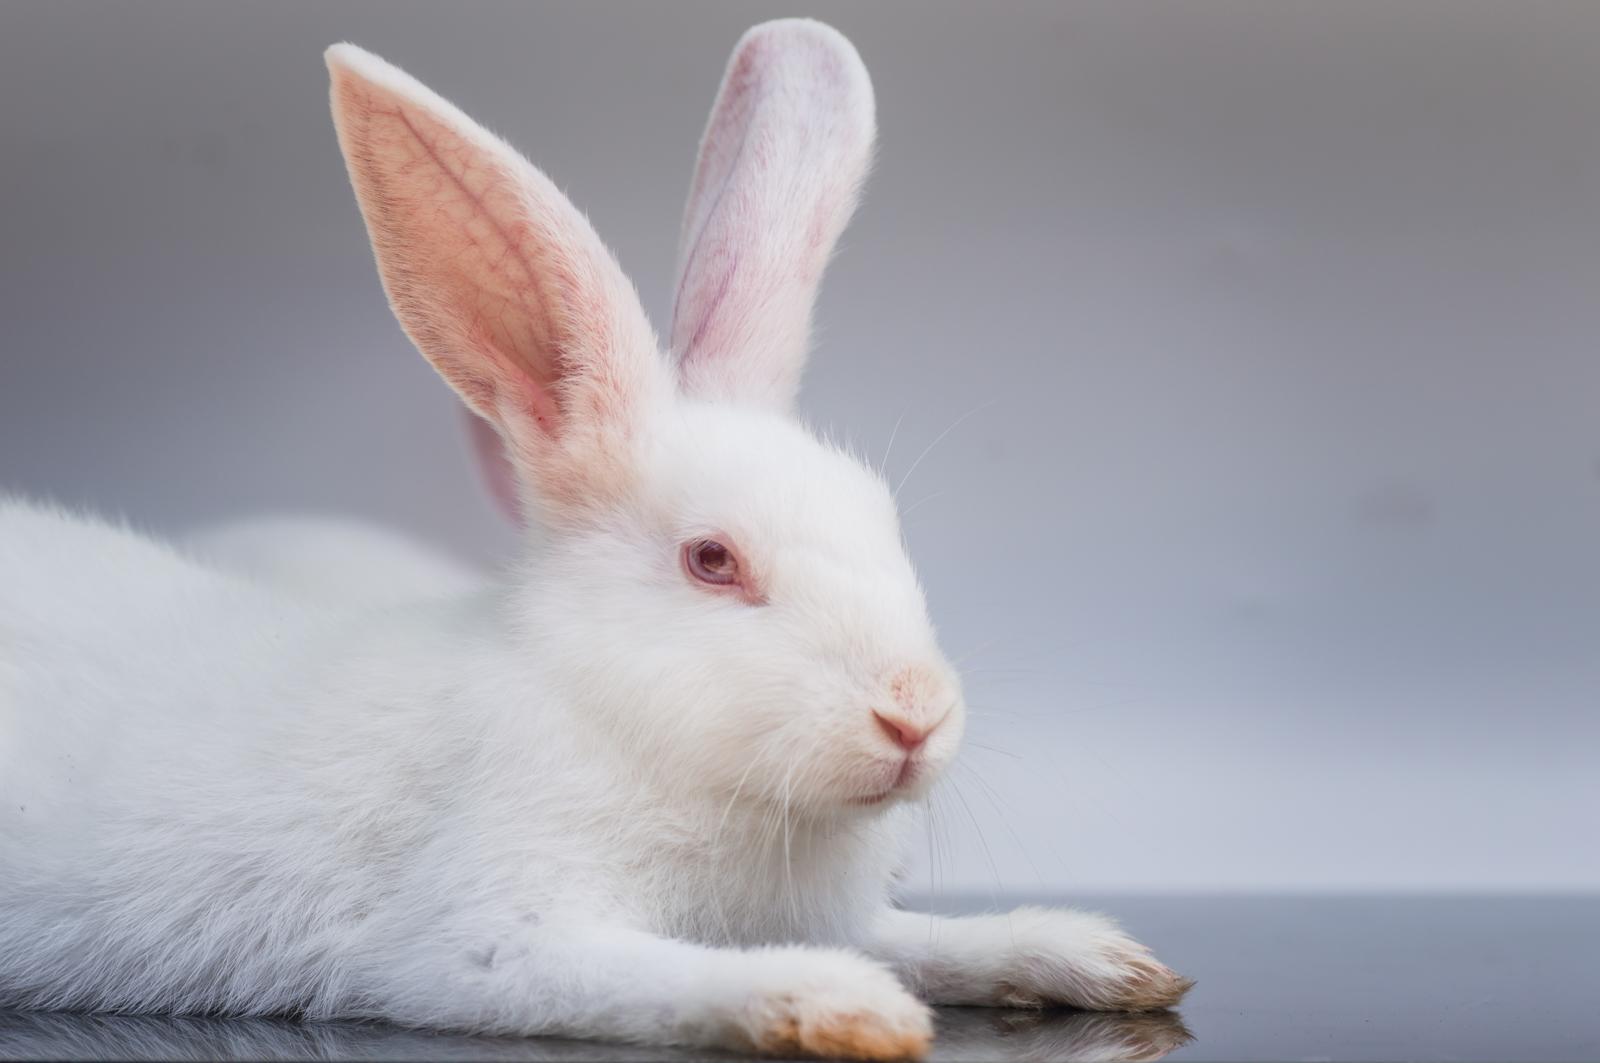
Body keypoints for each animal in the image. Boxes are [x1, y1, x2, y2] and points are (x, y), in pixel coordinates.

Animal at [0, 20, 1191, 1061]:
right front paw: (843, 1006)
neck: (616, 715)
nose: (914, 714)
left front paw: (1100, 958)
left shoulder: (839, 910)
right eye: (712, 560)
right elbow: (655, 977)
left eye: (885, 523)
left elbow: (924, 940)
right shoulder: (486, 935)